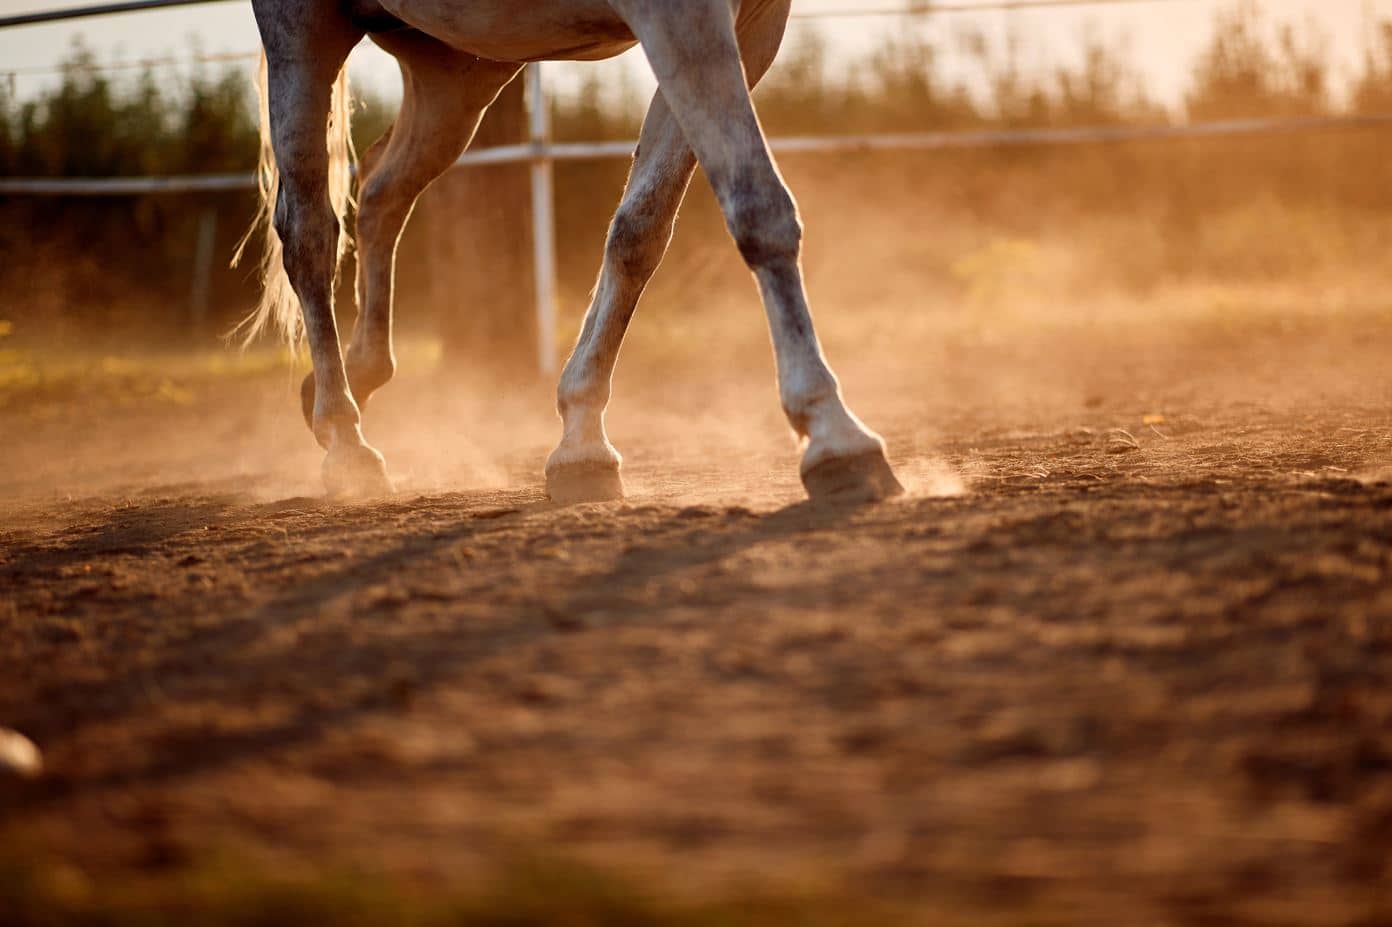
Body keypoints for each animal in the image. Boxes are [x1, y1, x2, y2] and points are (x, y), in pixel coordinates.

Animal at [242, 0, 902, 501]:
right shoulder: (682, 16)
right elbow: (758, 206)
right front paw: (835, 433)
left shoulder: (752, 25)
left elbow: (640, 231)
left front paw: (582, 442)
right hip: (306, 33)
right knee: (309, 233)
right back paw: (345, 441)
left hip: (458, 68)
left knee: (381, 189)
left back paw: (353, 379)